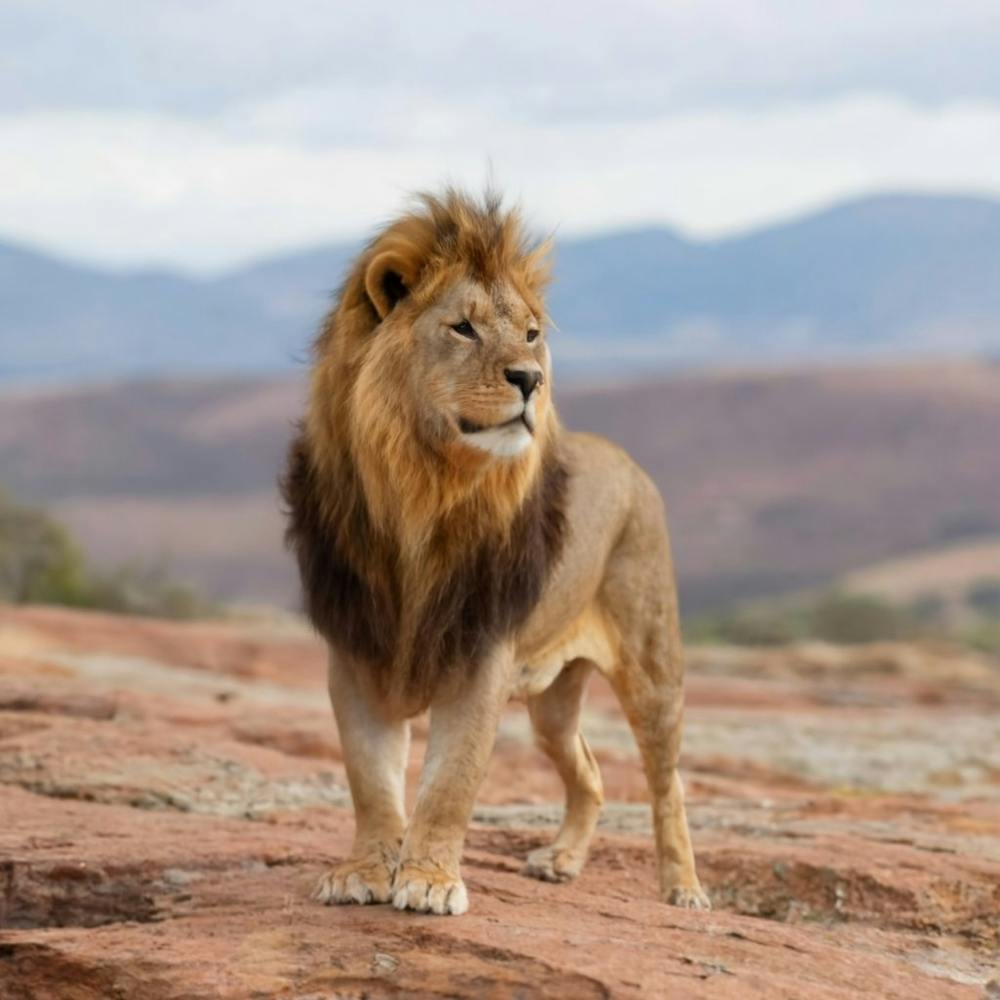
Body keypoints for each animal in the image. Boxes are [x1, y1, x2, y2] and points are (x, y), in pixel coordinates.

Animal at [283, 188, 709, 916]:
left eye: (532, 334)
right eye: (464, 329)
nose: (531, 379)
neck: (421, 493)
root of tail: (626, 460)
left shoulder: (480, 654)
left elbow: (450, 783)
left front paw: (428, 881)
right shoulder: (356, 653)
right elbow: (371, 781)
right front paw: (364, 871)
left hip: (653, 669)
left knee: (667, 780)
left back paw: (683, 888)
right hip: (552, 702)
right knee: (590, 772)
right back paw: (562, 861)